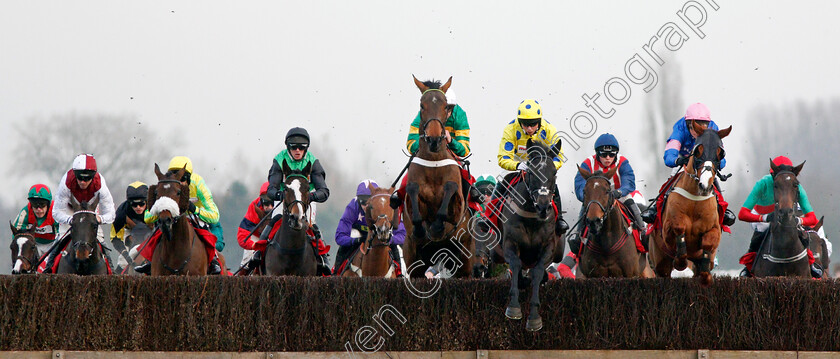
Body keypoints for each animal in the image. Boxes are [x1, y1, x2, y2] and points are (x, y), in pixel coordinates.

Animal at [400, 75, 472, 278]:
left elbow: (450, 188)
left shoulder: (457, 208)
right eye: (421, 105)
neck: (434, 164)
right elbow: (413, 190)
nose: (433, 139)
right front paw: (421, 229)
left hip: (465, 258)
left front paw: (437, 227)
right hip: (412, 258)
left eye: (445, 105)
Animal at [502, 139, 560, 334]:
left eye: (554, 173)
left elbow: (537, 272)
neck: (532, 217)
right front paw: (513, 307)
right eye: (532, 172)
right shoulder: (509, 243)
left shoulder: (549, 247)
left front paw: (534, 318)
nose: (543, 207)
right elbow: (516, 264)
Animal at [648, 124, 732, 286]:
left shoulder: (714, 230)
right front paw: (680, 262)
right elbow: (678, 228)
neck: (695, 201)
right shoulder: (667, 230)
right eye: (697, 150)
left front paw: (706, 277)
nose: (705, 185)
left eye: (720, 153)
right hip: (659, 260)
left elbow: (708, 246)